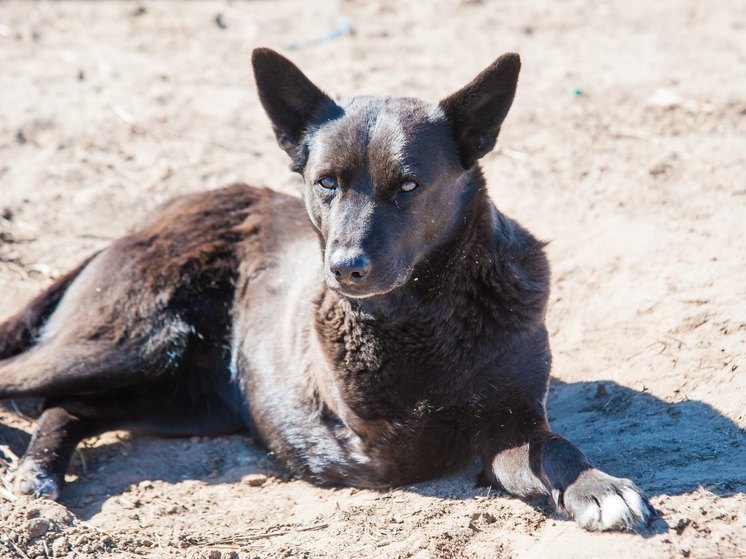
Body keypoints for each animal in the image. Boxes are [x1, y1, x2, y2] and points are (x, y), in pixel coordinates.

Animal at [0, 47, 652, 528]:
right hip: (135, 342)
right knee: (29, 381)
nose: (345, 268)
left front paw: (598, 486)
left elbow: (554, 445)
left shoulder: (510, 419)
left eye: (409, 186)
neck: (429, 313)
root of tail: (152, 216)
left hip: (178, 395)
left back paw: (40, 469)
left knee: (67, 408)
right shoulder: (393, 443)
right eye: (326, 183)